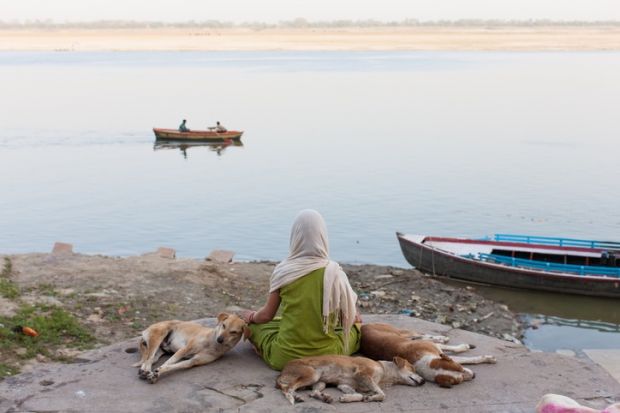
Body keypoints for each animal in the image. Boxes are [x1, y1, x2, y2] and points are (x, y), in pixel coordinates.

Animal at [278, 354, 426, 402]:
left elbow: (360, 395)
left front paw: (350, 398)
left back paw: (324, 397)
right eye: (413, 368)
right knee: (288, 389)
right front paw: (373, 397)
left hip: (320, 382)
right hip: (313, 374)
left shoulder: (344, 385)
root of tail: (282, 372)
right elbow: (383, 394)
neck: (384, 373)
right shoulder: (362, 374)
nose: (424, 381)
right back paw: (295, 397)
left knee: (313, 392)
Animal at [360, 322, 496, 386]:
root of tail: (363, 327)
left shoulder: (436, 349)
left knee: (421, 335)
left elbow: (456, 351)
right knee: (421, 336)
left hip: (401, 332)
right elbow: (465, 358)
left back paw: (441, 338)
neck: (424, 362)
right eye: (459, 380)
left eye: (460, 368)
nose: (474, 376)